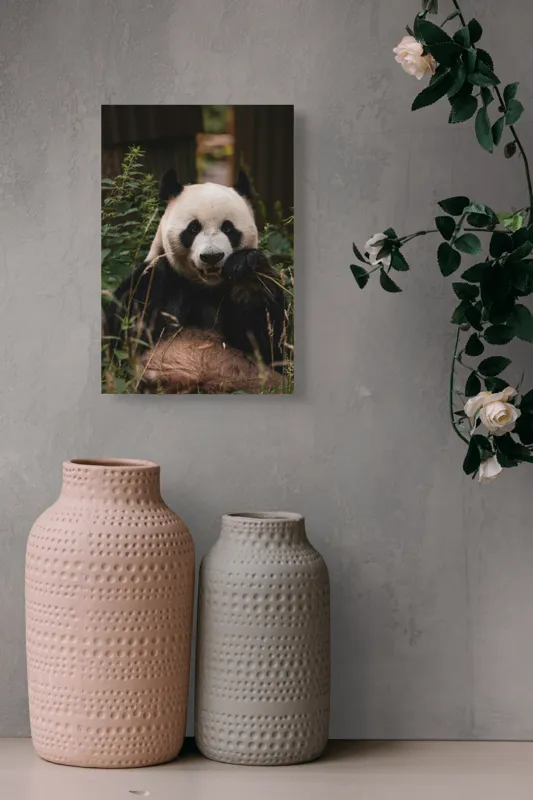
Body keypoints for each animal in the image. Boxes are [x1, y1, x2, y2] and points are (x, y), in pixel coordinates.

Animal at [105, 170, 285, 393]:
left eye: (228, 228)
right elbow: (119, 335)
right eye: (193, 229)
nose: (212, 256)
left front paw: (245, 265)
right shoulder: (157, 281)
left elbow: (270, 342)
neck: (205, 288)